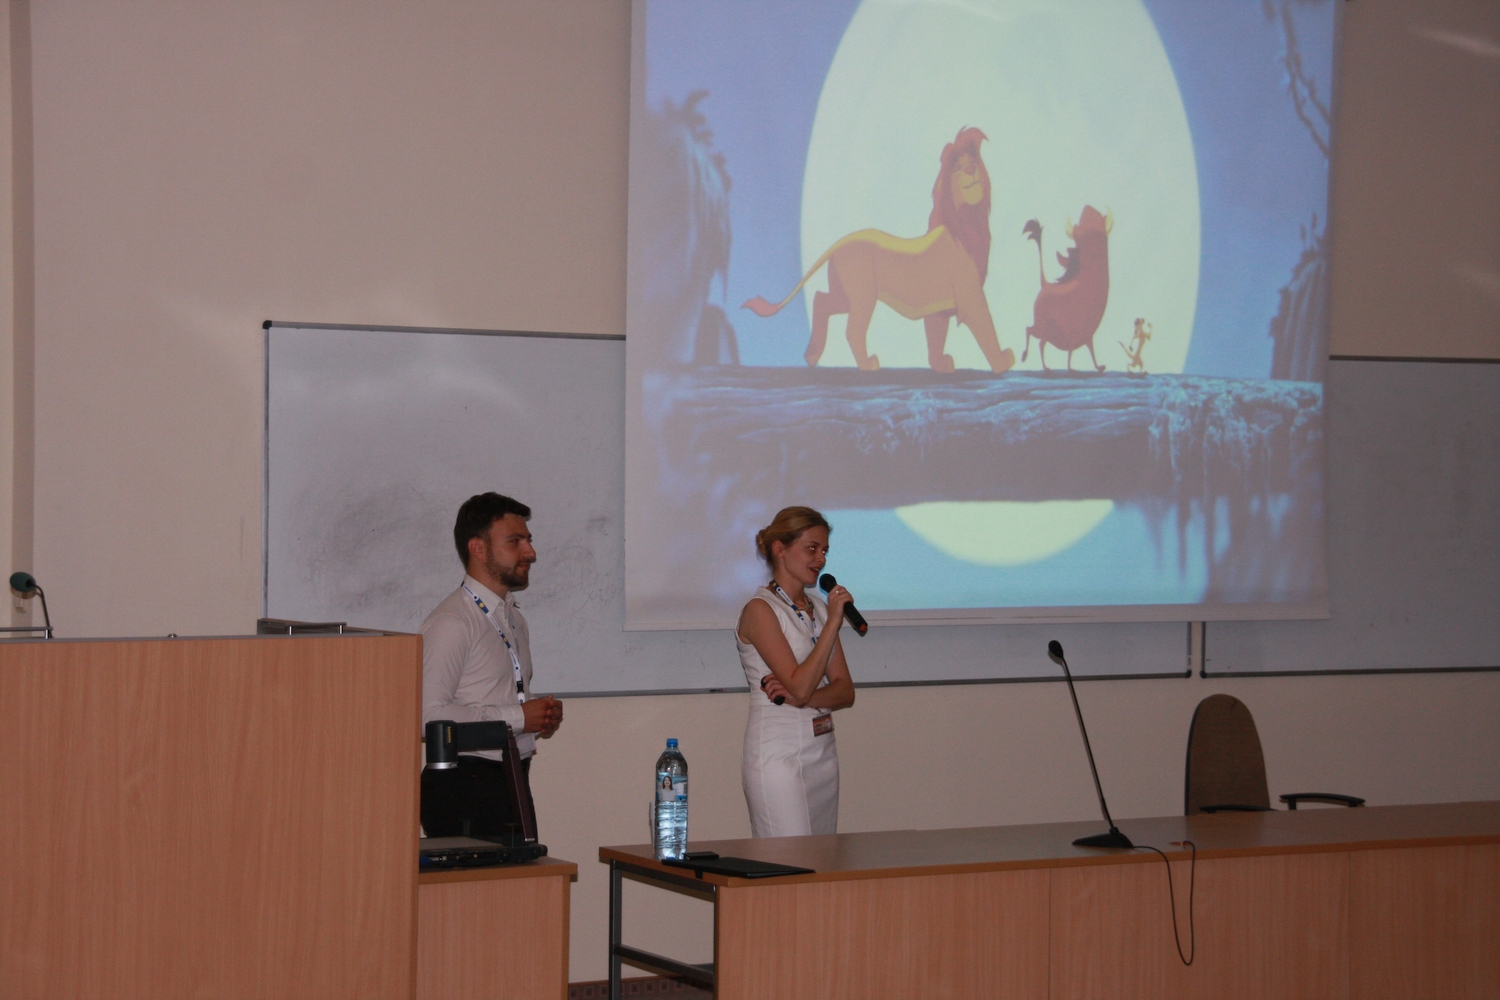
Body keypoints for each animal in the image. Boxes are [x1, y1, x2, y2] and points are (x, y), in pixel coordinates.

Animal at [1021, 205, 1112, 371]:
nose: (1088, 207)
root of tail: (1045, 284)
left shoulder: (1086, 335)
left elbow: (1090, 349)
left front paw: (1098, 367)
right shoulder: (1072, 332)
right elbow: (1071, 351)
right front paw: (1070, 368)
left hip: (1046, 330)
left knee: (1038, 339)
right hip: (1044, 327)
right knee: (1032, 333)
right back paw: (1036, 362)